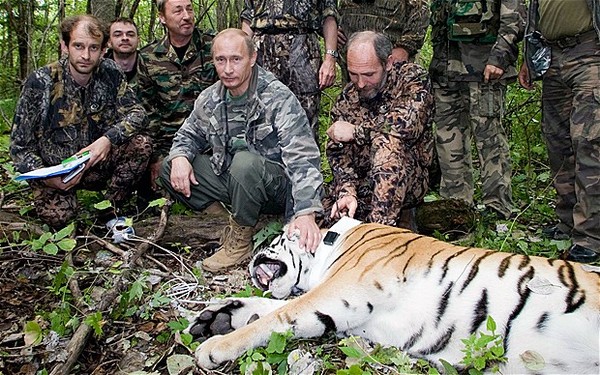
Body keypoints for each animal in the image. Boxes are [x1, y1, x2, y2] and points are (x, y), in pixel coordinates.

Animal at [188, 216, 600, 374]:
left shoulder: (340, 292)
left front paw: (213, 347)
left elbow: (279, 313)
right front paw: (215, 316)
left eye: (273, 240)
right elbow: (271, 306)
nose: (250, 258)